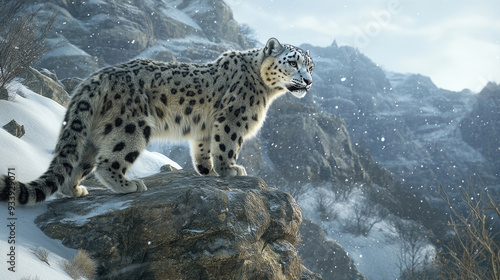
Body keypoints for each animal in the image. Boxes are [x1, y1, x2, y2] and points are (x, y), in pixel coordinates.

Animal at [0, 37, 312, 205]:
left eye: (310, 65)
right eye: (292, 62)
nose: (308, 82)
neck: (267, 92)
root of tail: (94, 78)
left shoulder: (204, 128)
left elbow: (202, 149)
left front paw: (207, 172)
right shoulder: (232, 119)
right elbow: (226, 146)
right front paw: (231, 170)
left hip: (92, 133)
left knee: (78, 164)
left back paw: (76, 189)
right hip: (132, 127)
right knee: (108, 161)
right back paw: (129, 185)